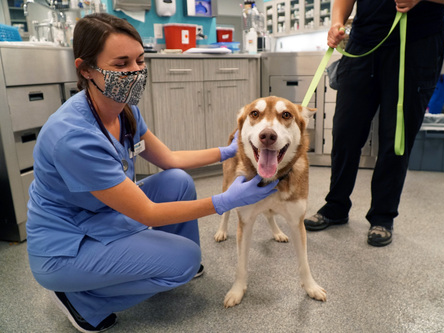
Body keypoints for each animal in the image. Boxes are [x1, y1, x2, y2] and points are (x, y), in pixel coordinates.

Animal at [215, 95, 326, 306]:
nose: (267, 135)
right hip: (227, 184)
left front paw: (311, 287)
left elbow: (304, 262)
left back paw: (277, 233)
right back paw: (221, 231)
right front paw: (237, 290)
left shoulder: (297, 221)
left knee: (268, 214)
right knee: (225, 210)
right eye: (255, 113)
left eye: (286, 114)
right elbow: (241, 264)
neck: (272, 180)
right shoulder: (245, 221)